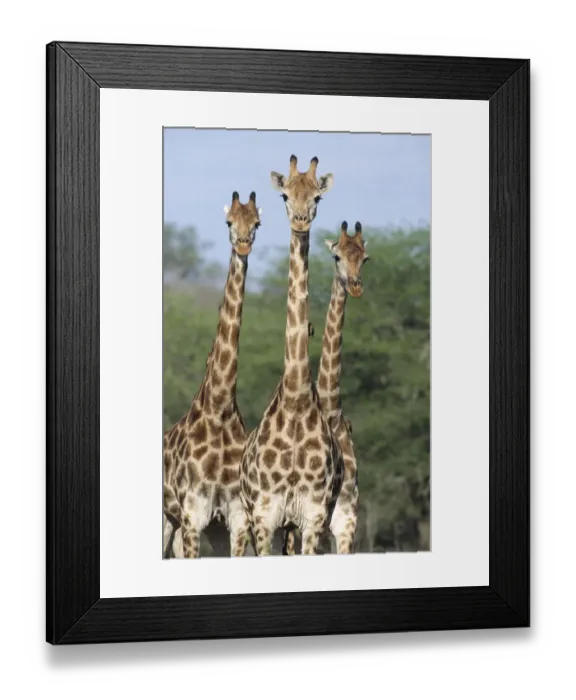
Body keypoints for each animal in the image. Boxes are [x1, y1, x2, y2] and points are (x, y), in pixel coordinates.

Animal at [163, 191, 262, 558]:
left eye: (257, 222)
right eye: (228, 221)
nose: (244, 244)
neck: (219, 408)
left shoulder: (235, 518)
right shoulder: (193, 516)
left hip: (205, 529)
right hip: (168, 520)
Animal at [239, 155, 344, 556]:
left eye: (317, 197)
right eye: (285, 194)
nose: (300, 220)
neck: (297, 400)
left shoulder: (313, 517)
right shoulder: (264, 518)